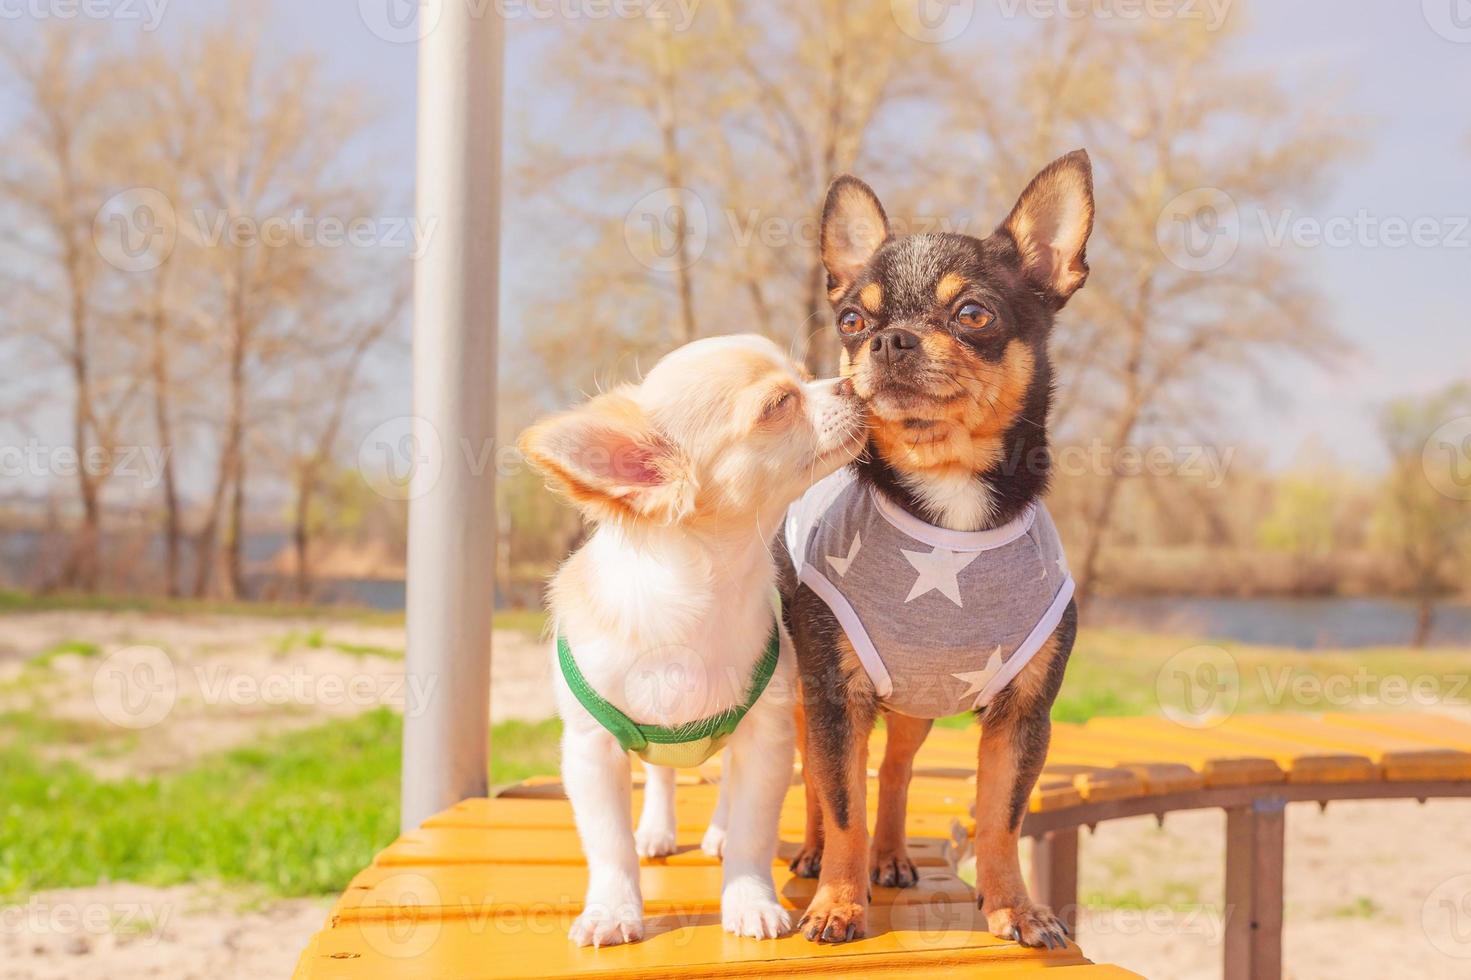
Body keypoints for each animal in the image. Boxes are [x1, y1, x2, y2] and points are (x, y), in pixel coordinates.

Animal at [520, 332, 864, 941]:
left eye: (806, 377)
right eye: (779, 403)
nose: (850, 381)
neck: (700, 598)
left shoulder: (767, 739)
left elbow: (753, 831)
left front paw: (749, 900)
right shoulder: (592, 752)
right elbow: (608, 846)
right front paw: (612, 911)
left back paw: (718, 832)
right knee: (660, 774)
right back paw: (656, 831)